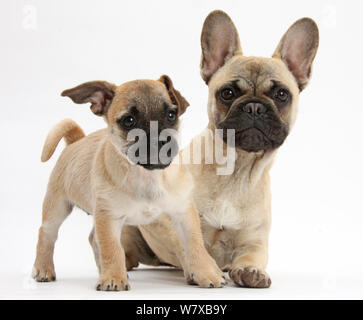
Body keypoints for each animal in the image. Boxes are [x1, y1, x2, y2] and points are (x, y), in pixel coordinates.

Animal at [32, 75, 226, 290]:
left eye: (171, 115)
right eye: (129, 121)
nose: (161, 140)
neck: (147, 175)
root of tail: (76, 141)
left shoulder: (183, 214)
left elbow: (194, 245)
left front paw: (206, 272)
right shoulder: (109, 218)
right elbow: (112, 248)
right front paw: (113, 278)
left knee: (93, 238)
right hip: (57, 208)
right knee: (47, 235)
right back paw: (44, 269)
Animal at [119, 11, 318, 288]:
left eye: (281, 94)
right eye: (228, 93)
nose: (254, 107)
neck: (235, 171)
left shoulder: (255, 239)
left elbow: (253, 255)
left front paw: (251, 271)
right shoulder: (173, 219)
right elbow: (187, 244)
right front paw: (201, 269)